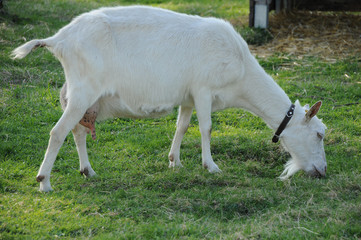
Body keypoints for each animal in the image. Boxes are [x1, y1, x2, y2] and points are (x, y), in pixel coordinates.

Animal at [11, 6, 326, 193]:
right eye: (319, 134)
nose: (322, 171)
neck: (241, 73)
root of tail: (58, 40)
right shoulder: (203, 88)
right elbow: (206, 128)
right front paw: (210, 166)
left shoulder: (187, 96)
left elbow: (182, 126)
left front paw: (175, 161)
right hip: (83, 91)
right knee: (57, 132)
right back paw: (44, 182)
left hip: (83, 97)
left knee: (77, 131)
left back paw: (88, 171)